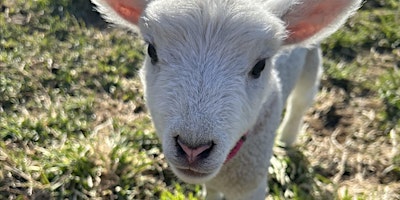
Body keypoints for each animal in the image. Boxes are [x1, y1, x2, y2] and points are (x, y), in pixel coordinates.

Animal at [90, 0, 362, 198]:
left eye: (260, 66)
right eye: (151, 51)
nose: (192, 148)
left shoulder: (252, 186)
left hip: (311, 59)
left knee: (301, 101)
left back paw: (287, 139)